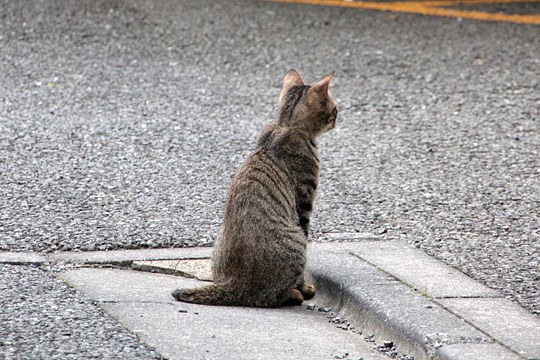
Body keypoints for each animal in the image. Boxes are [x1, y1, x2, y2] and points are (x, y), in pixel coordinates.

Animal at [173, 69, 340, 306]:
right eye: (334, 108)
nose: (337, 118)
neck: (285, 124)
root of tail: (234, 283)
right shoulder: (304, 200)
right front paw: (304, 287)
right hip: (296, 239)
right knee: (273, 295)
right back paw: (295, 294)